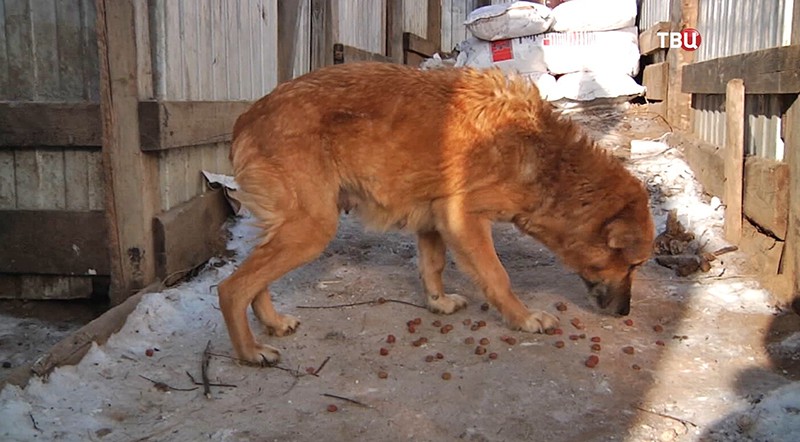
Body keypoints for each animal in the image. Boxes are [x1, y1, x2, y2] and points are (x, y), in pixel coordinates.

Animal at [216, 63, 652, 366]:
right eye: (632, 265)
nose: (625, 313)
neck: (547, 160)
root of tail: (246, 118)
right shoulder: (463, 218)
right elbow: (498, 277)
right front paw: (524, 318)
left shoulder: (433, 222)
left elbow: (433, 265)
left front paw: (438, 303)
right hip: (311, 228)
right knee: (232, 288)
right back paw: (250, 352)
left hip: (289, 226)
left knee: (255, 280)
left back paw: (272, 323)